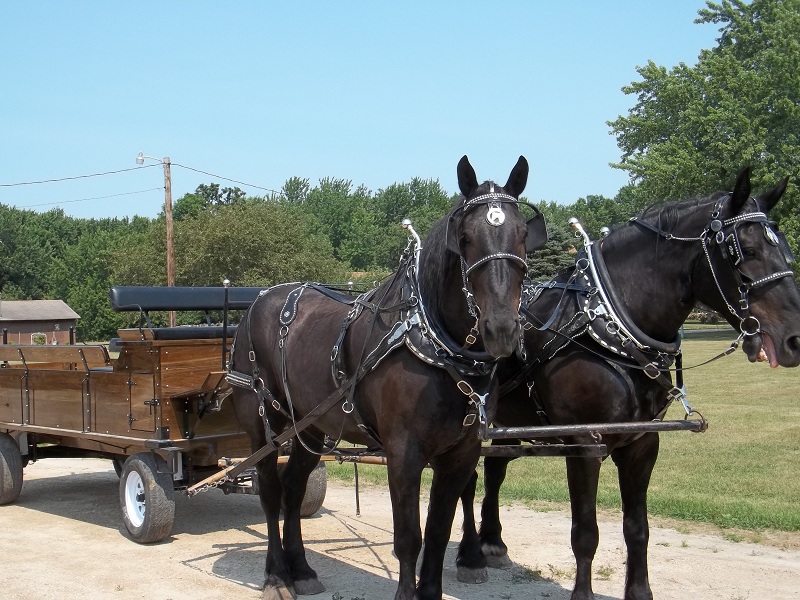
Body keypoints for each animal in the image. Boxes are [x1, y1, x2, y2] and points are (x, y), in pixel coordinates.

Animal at [227, 156, 544, 600]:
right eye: (465, 237)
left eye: (522, 235)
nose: (501, 329)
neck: (435, 343)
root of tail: (257, 301)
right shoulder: (403, 453)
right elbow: (409, 538)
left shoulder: (461, 454)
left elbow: (438, 532)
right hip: (264, 423)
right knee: (272, 493)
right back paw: (276, 575)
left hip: (310, 426)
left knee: (293, 488)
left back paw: (301, 569)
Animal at [456, 168, 800, 600]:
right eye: (747, 252)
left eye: (785, 249)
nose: (794, 339)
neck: (608, 327)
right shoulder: (584, 444)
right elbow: (585, 533)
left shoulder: (643, 442)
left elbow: (638, 528)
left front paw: (639, 591)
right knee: (467, 479)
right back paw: (469, 555)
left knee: (495, 468)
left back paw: (492, 541)